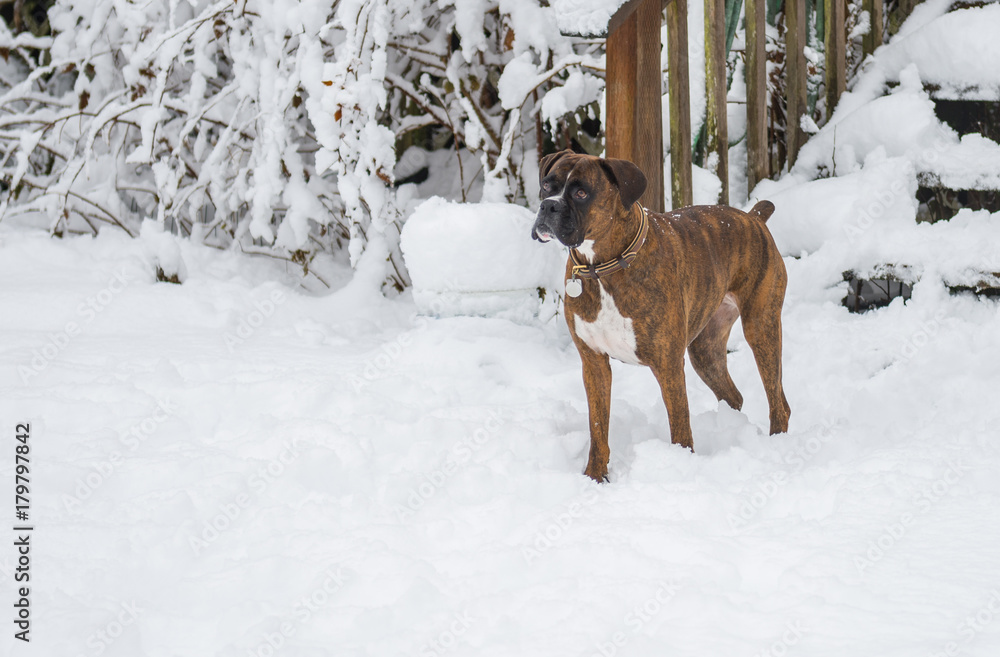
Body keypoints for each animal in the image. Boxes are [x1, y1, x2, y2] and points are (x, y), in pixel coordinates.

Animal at [532, 150, 788, 482]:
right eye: (547, 186)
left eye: (580, 193)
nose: (548, 205)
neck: (603, 267)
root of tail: (753, 218)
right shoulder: (594, 364)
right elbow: (598, 428)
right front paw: (594, 477)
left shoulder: (667, 365)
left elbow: (680, 425)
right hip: (705, 351)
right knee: (736, 396)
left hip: (761, 328)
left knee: (777, 401)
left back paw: (778, 444)